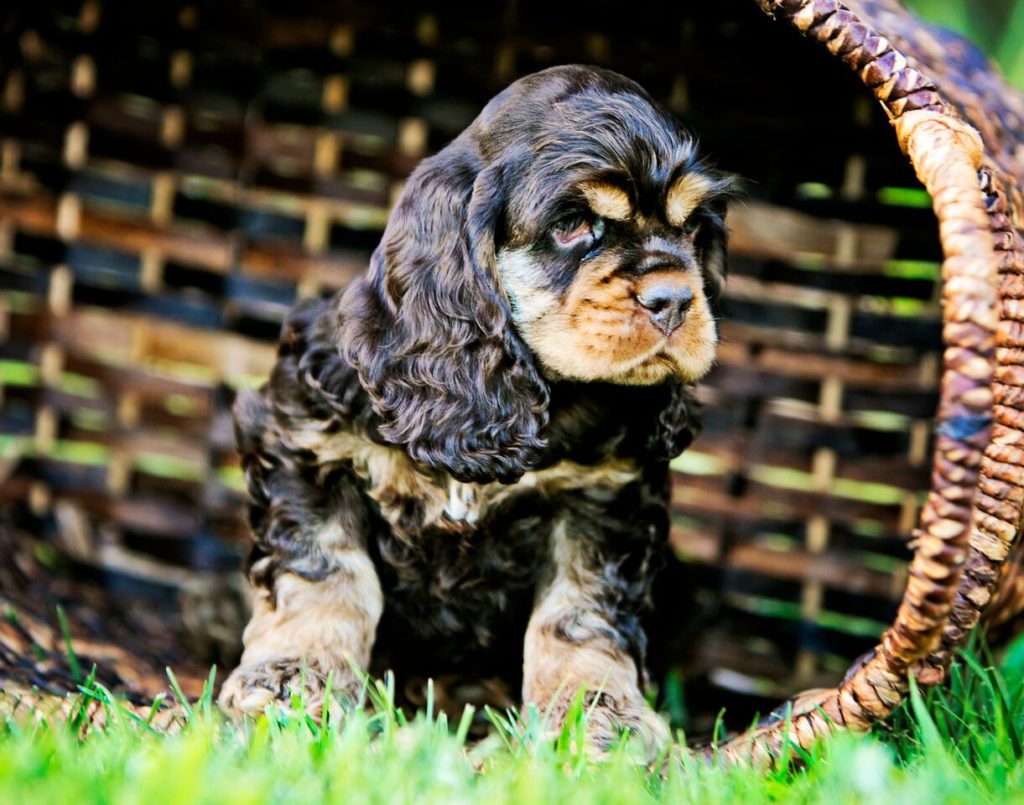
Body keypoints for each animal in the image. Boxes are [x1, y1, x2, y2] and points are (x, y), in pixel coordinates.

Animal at [220, 64, 733, 753]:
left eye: (692, 229)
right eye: (572, 224)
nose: (676, 299)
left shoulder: (604, 501)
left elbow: (578, 615)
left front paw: (598, 715)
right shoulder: (303, 442)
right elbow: (327, 576)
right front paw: (292, 681)